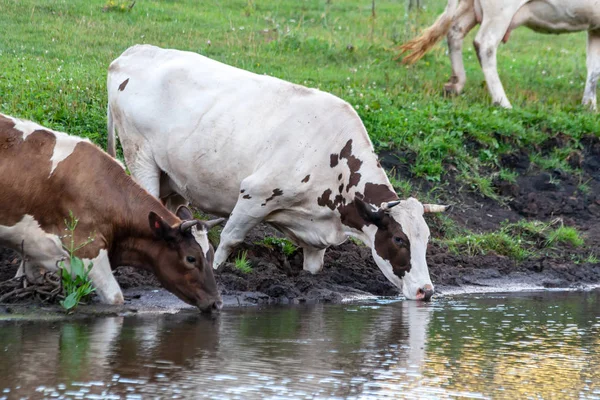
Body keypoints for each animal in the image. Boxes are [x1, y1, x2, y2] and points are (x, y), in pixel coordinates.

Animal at [0, 113, 224, 312]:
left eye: (211, 255)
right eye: (191, 258)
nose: (216, 303)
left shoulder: (34, 248)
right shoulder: (87, 248)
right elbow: (115, 297)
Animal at [106, 44, 450, 300]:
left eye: (427, 238)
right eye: (399, 239)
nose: (427, 290)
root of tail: (132, 53)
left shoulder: (315, 237)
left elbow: (313, 267)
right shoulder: (254, 194)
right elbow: (229, 239)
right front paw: (215, 271)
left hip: (173, 178)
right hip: (140, 156)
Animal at [398, 0, 600, 109]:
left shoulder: (595, 29)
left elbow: (594, 69)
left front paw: (589, 106)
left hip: (471, 7)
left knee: (455, 30)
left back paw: (456, 84)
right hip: (500, 11)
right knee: (485, 44)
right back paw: (503, 102)